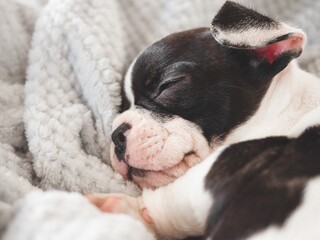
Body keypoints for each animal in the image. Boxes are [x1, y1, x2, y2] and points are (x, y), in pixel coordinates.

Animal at [86, 2, 320, 240]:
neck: (284, 110)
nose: (116, 135)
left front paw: (116, 206)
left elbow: (174, 197)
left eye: (168, 85)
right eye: (122, 105)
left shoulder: (223, 166)